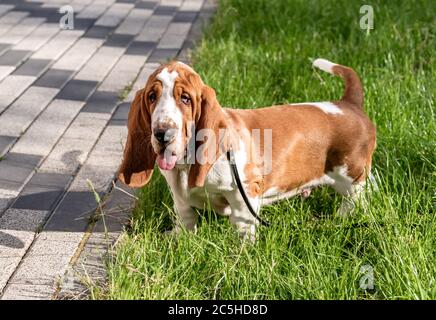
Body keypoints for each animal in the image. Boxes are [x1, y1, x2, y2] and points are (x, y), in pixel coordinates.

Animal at [117, 58, 376, 240]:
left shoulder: (244, 193)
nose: (162, 134)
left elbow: (242, 226)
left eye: (186, 99)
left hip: (350, 174)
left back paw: (343, 218)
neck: (186, 165)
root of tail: (348, 104)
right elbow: (186, 216)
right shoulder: (180, 196)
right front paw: (180, 239)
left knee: (355, 197)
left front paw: (240, 254)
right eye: (152, 97)